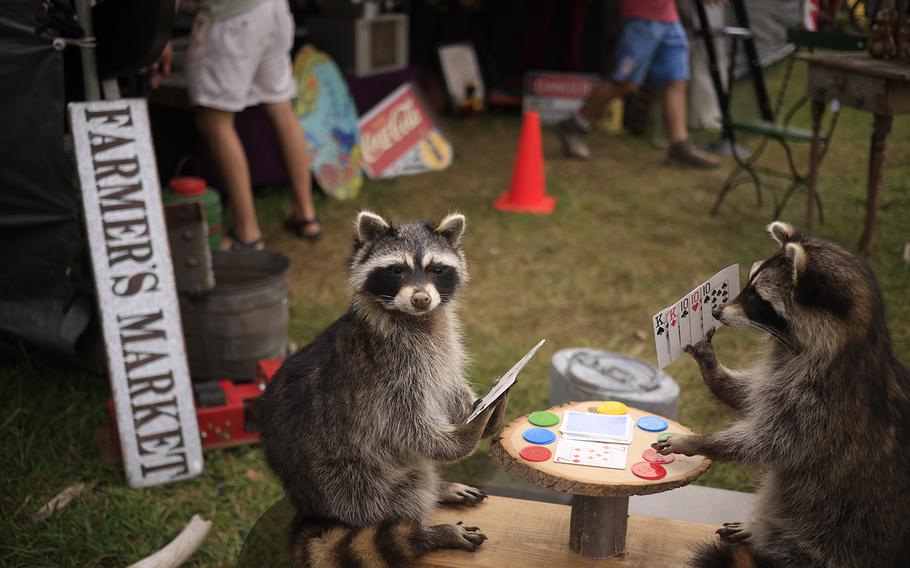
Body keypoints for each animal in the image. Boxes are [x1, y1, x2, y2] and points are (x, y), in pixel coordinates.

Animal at [260, 211, 510, 564]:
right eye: (396, 270)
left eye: (436, 269)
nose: (421, 298)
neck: (417, 318)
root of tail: (310, 508)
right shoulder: (386, 373)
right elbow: (408, 427)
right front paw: (467, 433)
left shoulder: (442, 348)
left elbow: (447, 385)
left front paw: (483, 406)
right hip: (348, 479)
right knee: (399, 490)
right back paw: (429, 529)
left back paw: (438, 489)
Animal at [656, 222, 910, 568]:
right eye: (748, 283)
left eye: (758, 298)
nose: (716, 310)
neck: (853, 343)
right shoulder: (784, 376)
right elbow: (751, 395)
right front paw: (712, 368)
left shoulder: (820, 404)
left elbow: (766, 442)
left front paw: (696, 442)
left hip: (837, 527)